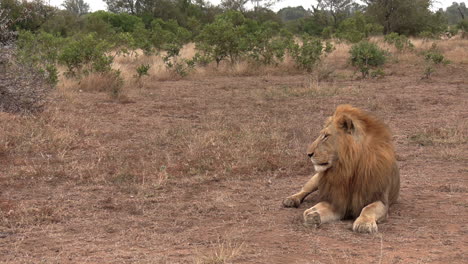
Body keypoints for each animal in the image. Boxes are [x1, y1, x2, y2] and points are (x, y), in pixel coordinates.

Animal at [284, 104, 400, 233]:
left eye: (326, 136)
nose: (308, 154)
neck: (347, 168)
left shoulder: (380, 200)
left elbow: (369, 208)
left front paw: (364, 224)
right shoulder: (337, 201)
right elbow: (317, 208)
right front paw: (312, 215)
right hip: (317, 178)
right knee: (304, 190)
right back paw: (292, 200)